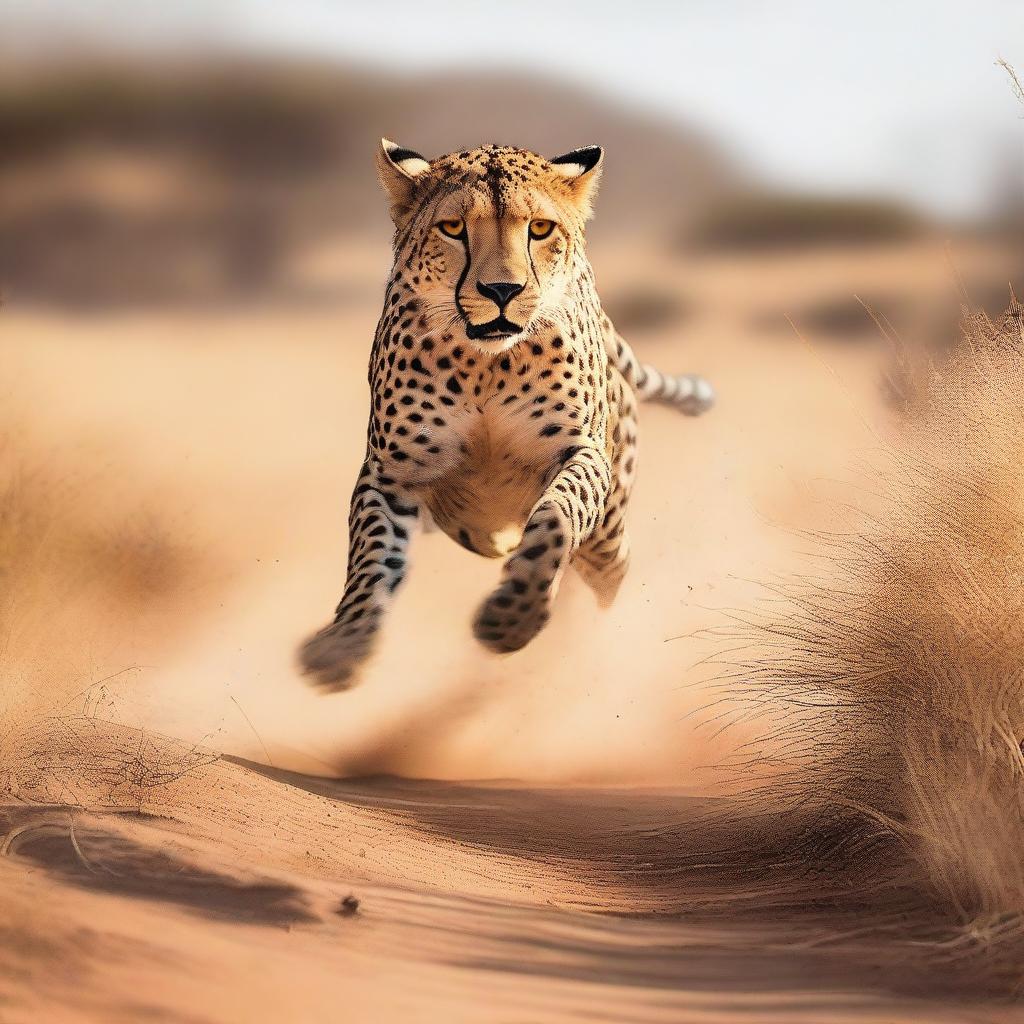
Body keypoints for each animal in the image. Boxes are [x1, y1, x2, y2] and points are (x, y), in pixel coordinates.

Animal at [299, 140, 712, 692]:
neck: (485, 364)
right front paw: (344, 643)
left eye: (539, 228)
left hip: (607, 534)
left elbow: (557, 516)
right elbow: (371, 557)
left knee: (612, 570)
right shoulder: (393, 474)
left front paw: (514, 619)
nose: (501, 290)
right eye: (453, 227)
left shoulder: (581, 453)